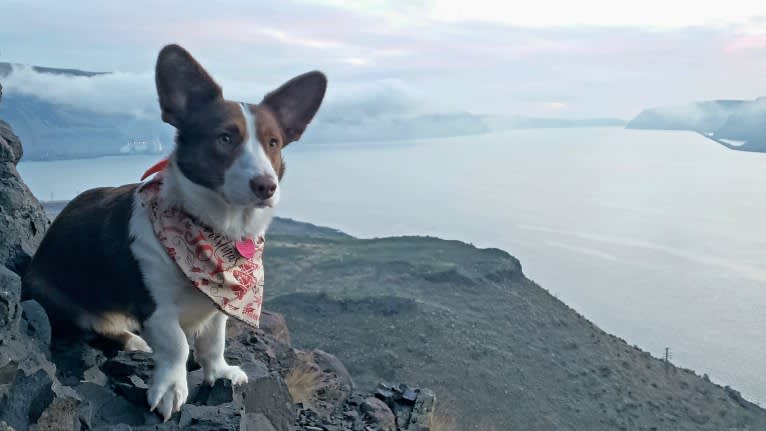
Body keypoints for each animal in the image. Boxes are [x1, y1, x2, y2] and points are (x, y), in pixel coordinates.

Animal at [21, 44, 328, 422]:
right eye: (225, 138)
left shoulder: (218, 306)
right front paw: (170, 389)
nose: (266, 186)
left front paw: (220, 372)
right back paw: (133, 341)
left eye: (274, 142)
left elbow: (213, 342)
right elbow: (176, 346)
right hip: (59, 302)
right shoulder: (157, 308)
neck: (216, 231)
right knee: (97, 326)